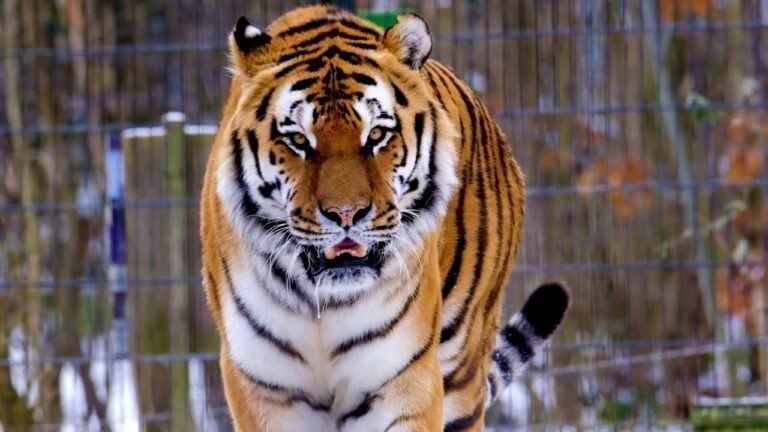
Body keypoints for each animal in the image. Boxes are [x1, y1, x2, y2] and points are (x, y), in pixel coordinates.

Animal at [199, 5, 569, 432]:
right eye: (298, 140)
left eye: (376, 135)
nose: (346, 214)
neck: (322, 303)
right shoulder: (264, 387)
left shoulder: (401, 376)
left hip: (462, 369)